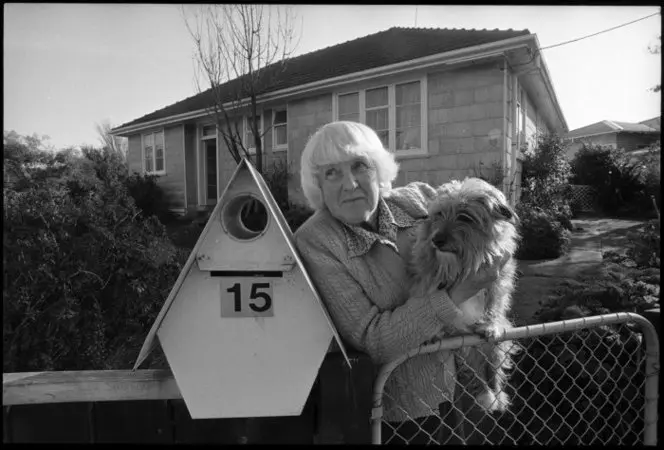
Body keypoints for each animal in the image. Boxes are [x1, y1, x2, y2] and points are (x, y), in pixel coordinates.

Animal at [410, 178, 520, 412]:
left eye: (465, 216)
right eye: (439, 214)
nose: (436, 240)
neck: (464, 263)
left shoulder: (498, 282)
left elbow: (493, 304)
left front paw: (490, 324)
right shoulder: (427, 277)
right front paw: (434, 332)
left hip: (495, 345)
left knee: (492, 368)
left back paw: (494, 393)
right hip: (464, 344)